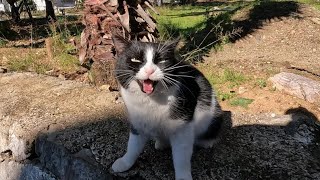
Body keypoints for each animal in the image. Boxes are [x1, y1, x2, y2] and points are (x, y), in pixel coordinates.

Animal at [112, 35, 222, 180]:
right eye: (135, 59)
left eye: (162, 60)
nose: (150, 70)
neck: (151, 100)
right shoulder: (137, 121)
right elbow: (133, 146)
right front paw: (124, 163)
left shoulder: (182, 127)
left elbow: (181, 157)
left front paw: (183, 177)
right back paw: (161, 143)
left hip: (213, 113)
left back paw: (207, 142)